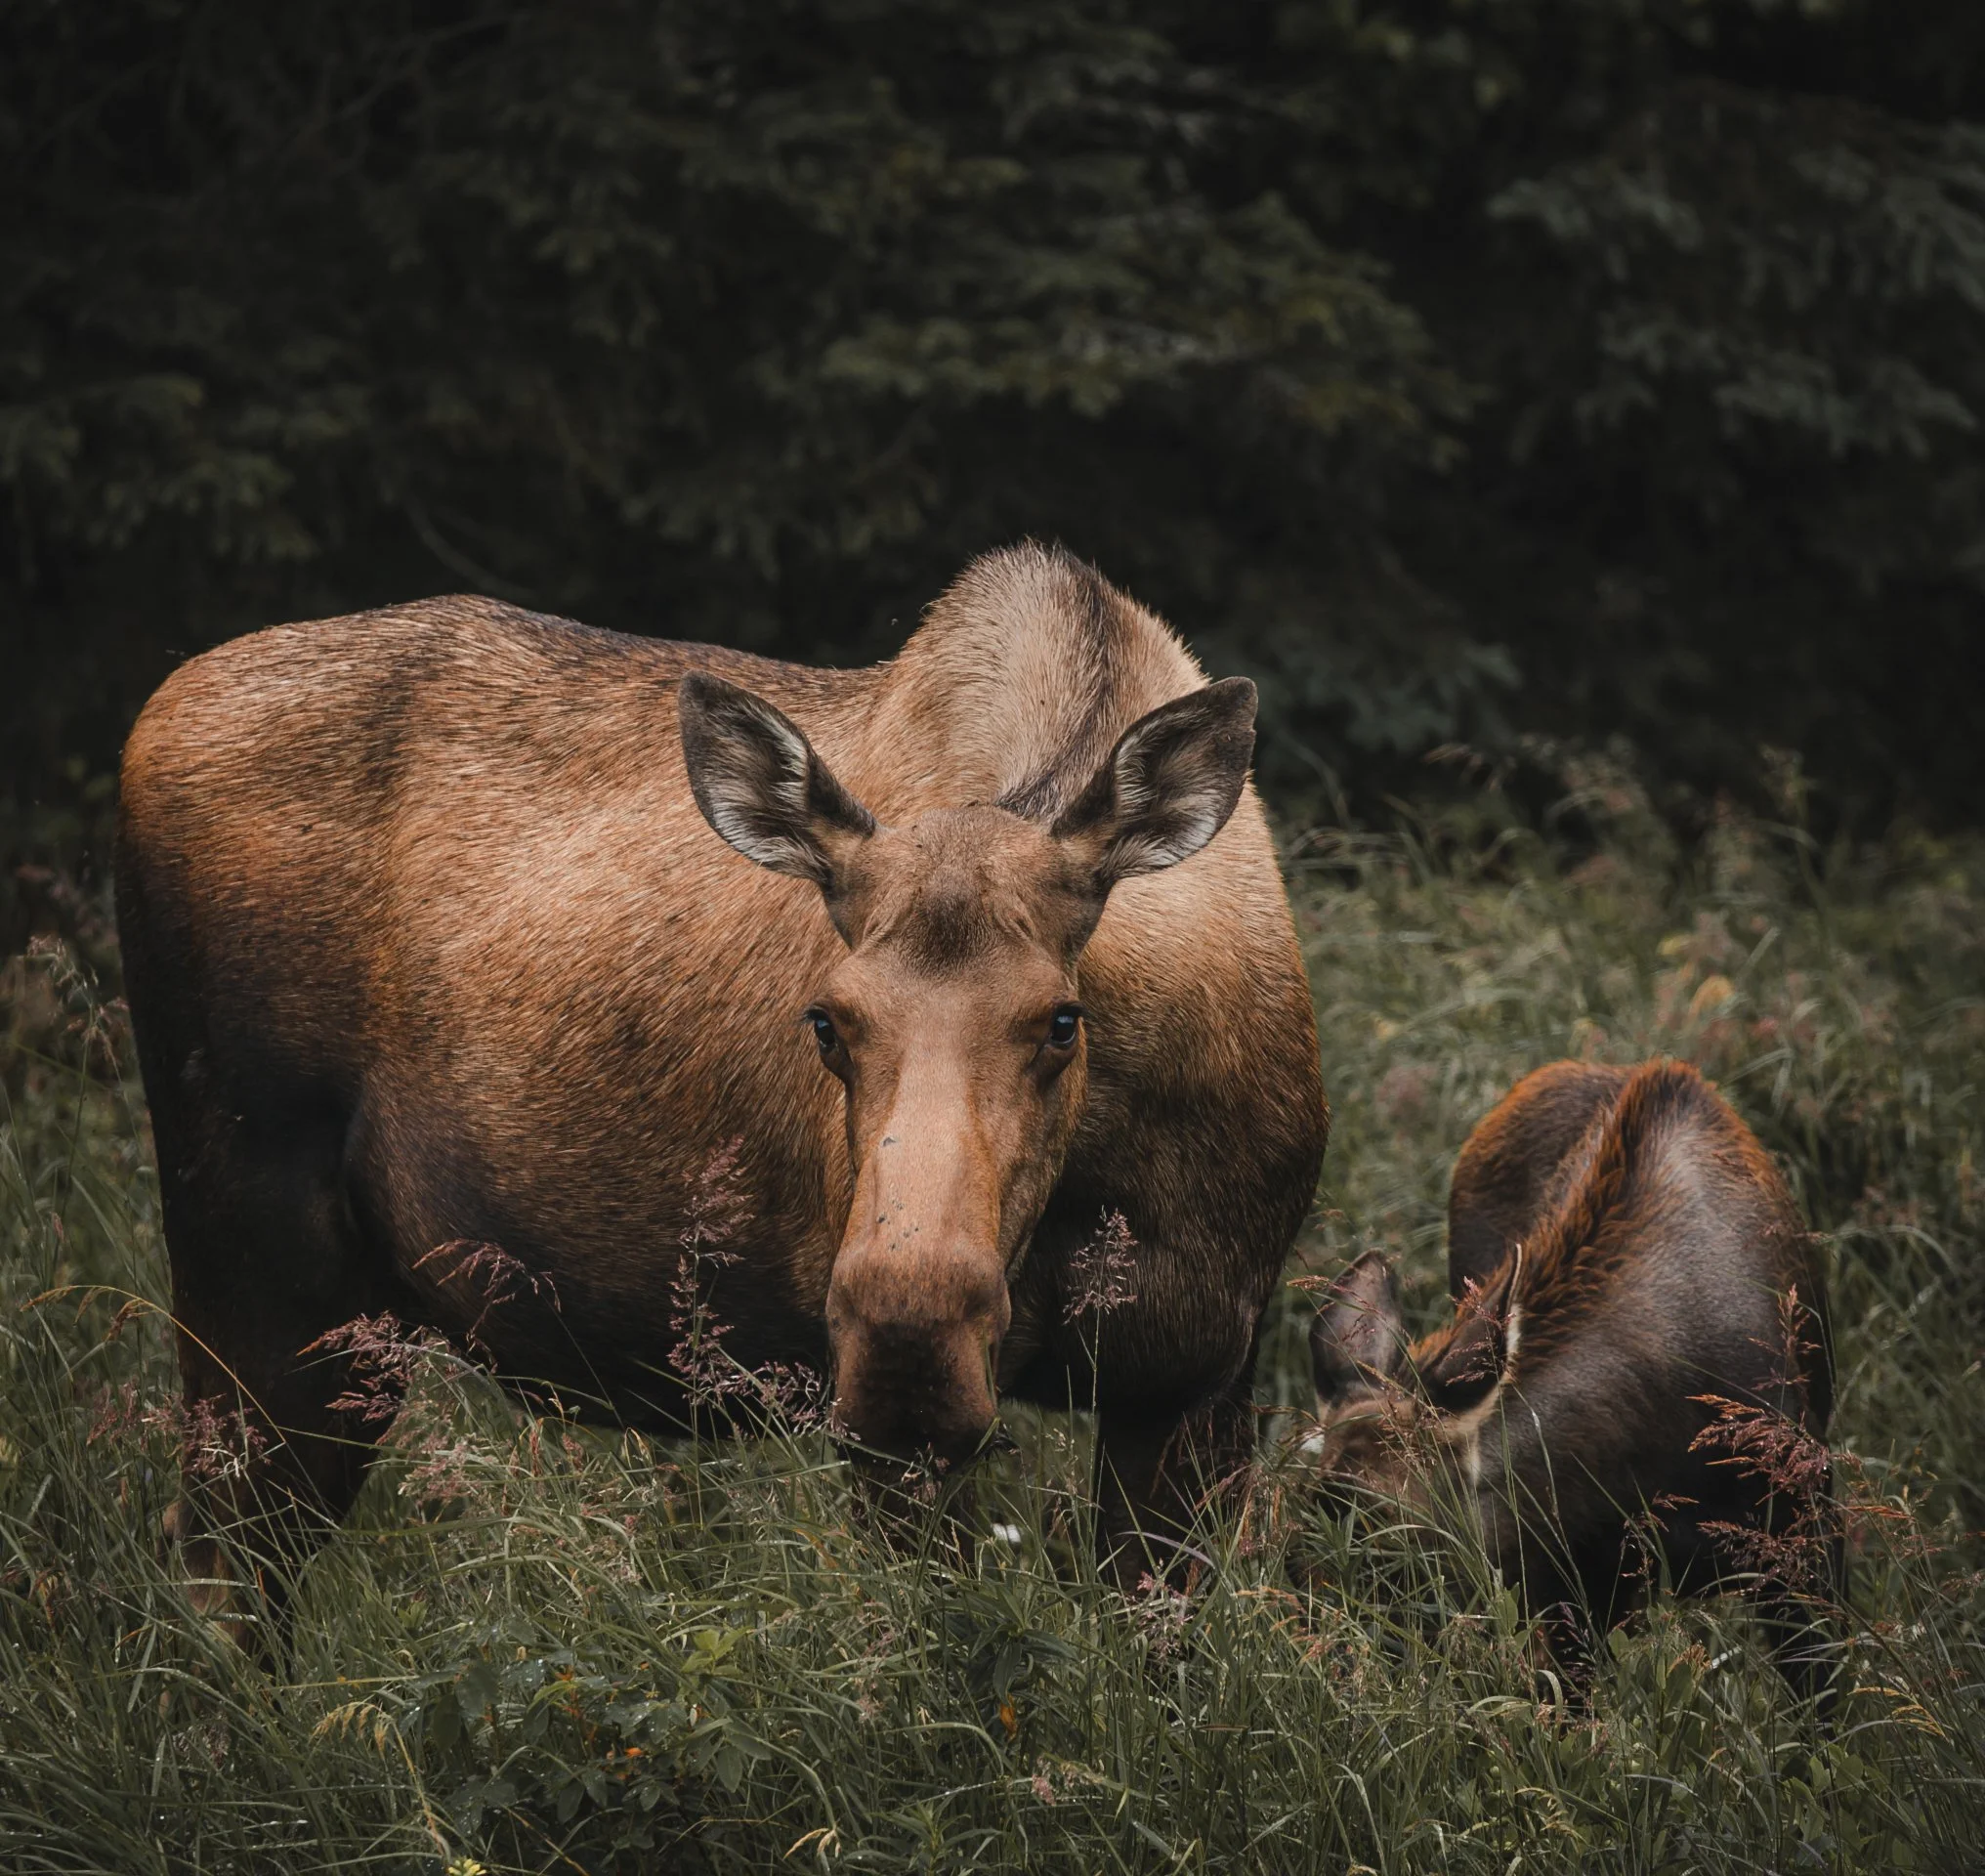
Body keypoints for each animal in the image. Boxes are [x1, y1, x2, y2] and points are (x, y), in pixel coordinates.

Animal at [115, 543, 1329, 1624]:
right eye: (827, 1021)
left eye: (1061, 1022)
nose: (910, 1328)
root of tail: (149, 714)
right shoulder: (896, 1437)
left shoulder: (1193, 1376)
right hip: (249, 1240)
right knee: (222, 1557)